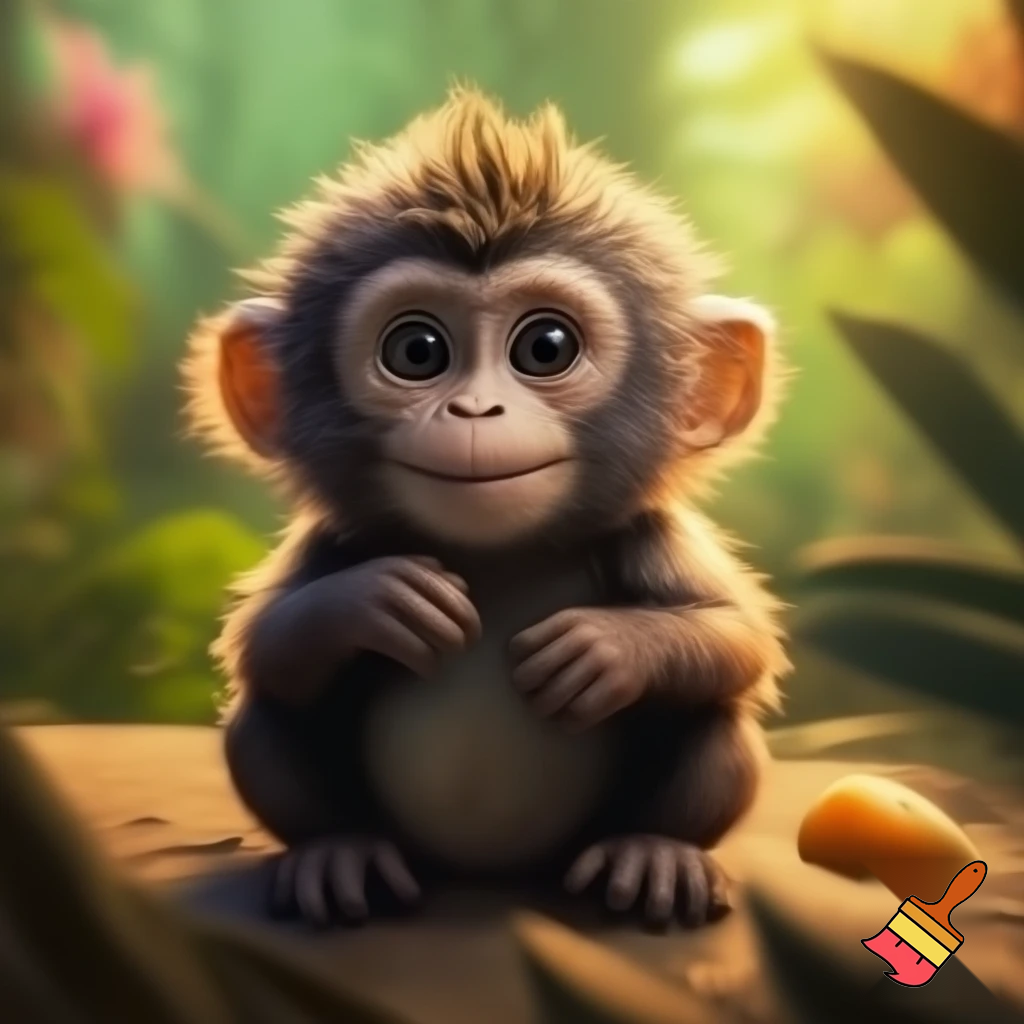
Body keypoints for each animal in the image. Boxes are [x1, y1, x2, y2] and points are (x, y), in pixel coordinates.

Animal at [182, 88, 791, 930]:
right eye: (417, 352)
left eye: (546, 347)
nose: (475, 410)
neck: (503, 556)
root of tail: (486, 874)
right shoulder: (335, 539)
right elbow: (263, 642)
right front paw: (377, 602)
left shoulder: (649, 532)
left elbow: (736, 638)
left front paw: (608, 647)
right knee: (268, 710)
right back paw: (336, 852)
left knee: (713, 710)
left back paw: (654, 851)